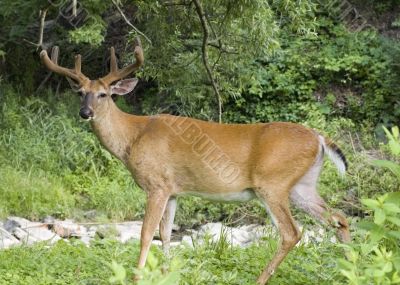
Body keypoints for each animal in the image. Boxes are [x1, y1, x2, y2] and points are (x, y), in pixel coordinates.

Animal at [39, 42, 348, 284]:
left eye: (104, 94)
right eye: (80, 93)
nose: (85, 113)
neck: (133, 137)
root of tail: (319, 138)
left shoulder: (156, 184)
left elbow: (146, 233)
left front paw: (137, 276)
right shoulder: (174, 190)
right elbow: (166, 234)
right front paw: (166, 274)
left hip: (273, 183)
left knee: (291, 233)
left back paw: (261, 279)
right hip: (302, 186)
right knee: (339, 219)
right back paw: (350, 266)